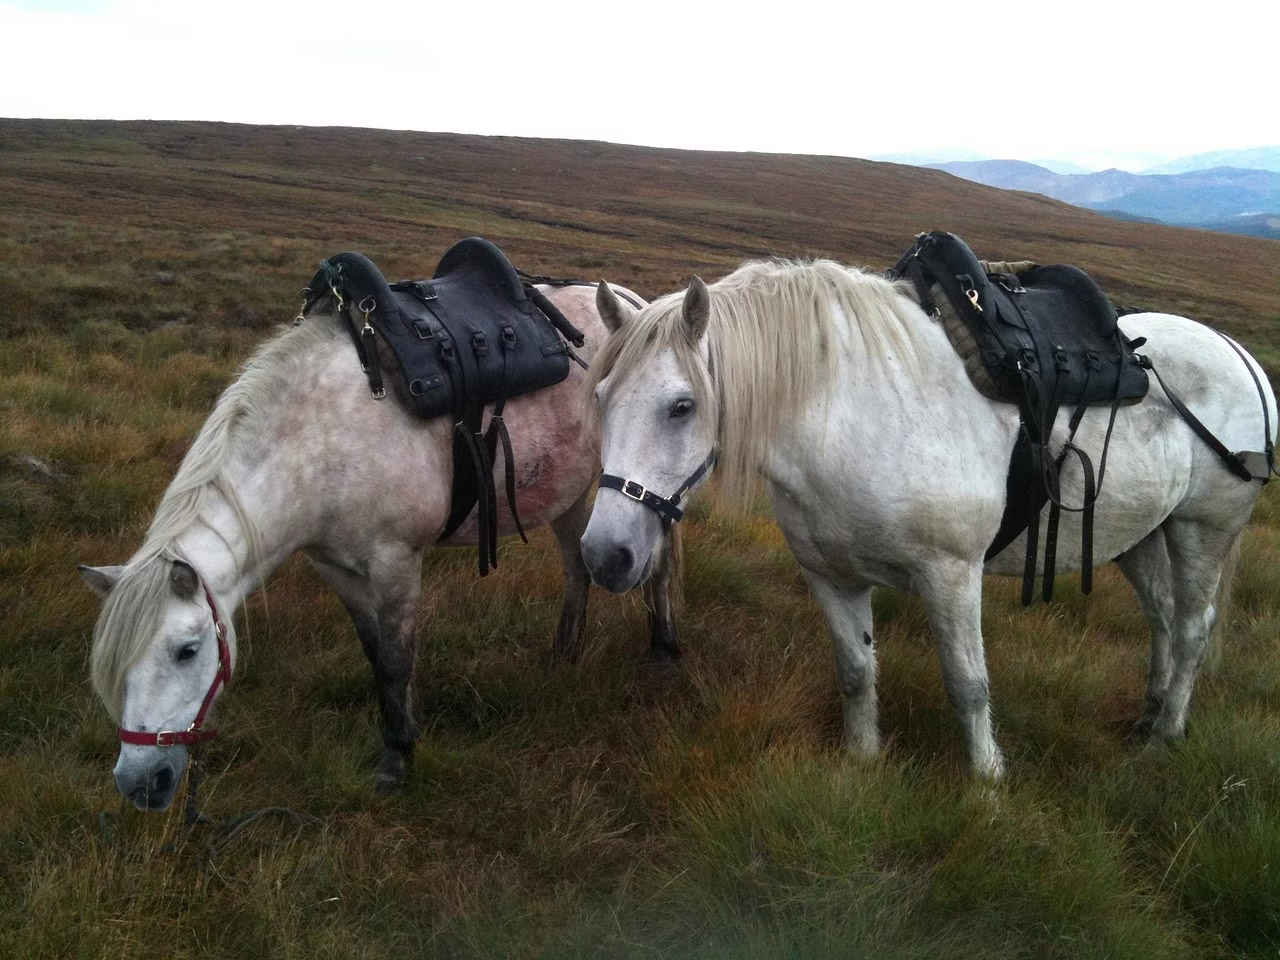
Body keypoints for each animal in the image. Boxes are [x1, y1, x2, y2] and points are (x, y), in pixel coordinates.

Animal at [80, 277, 681, 813]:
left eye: (187, 650)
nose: (140, 784)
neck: (318, 442)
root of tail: (634, 303)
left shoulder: (395, 562)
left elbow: (395, 659)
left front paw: (397, 758)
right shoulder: (337, 569)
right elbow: (374, 653)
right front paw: (401, 731)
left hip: (644, 492)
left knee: (660, 566)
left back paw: (664, 647)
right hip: (571, 493)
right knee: (578, 568)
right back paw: (564, 655)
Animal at [581, 258, 1276, 780]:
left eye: (682, 406)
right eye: (600, 398)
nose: (603, 556)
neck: (850, 422)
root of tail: (1238, 352)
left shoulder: (951, 576)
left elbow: (968, 685)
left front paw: (987, 784)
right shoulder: (831, 576)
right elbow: (856, 673)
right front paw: (862, 764)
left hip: (1203, 530)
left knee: (1192, 627)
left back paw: (1166, 733)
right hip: (1139, 535)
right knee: (1162, 617)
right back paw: (1149, 715)